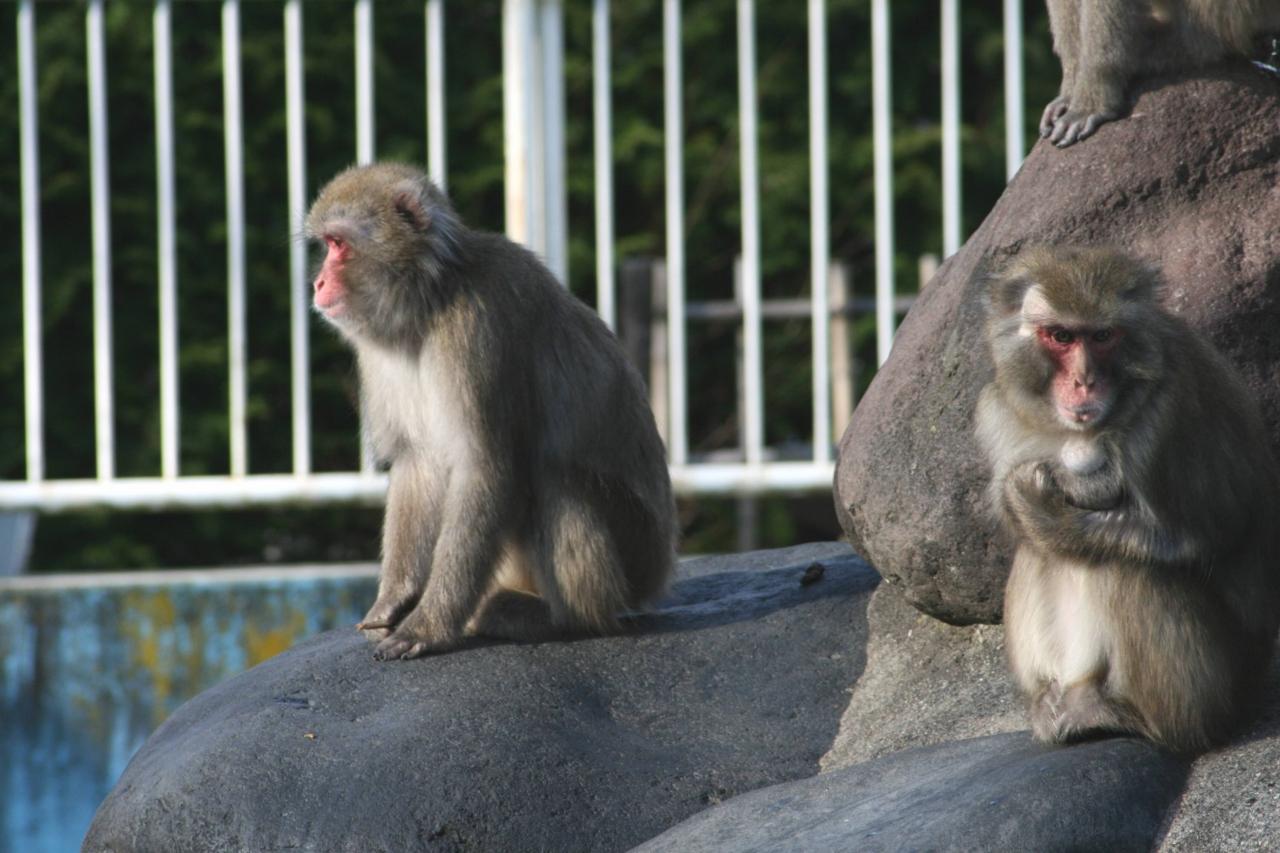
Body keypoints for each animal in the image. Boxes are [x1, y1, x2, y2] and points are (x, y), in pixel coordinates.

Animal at [305, 162, 680, 660]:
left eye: (338, 244)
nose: (318, 283)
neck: (431, 297)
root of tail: (659, 573)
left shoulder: (475, 327)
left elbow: (487, 468)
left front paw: (430, 624)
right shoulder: (377, 354)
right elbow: (418, 464)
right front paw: (394, 601)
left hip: (636, 553)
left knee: (553, 477)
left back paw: (565, 619)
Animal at [977, 245, 1280, 753]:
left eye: (1102, 336)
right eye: (1061, 336)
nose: (1084, 381)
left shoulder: (1168, 416)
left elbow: (1203, 533)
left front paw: (1043, 511)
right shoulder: (999, 413)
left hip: (1216, 690)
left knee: (1124, 565)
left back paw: (1132, 718)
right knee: (1036, 554)